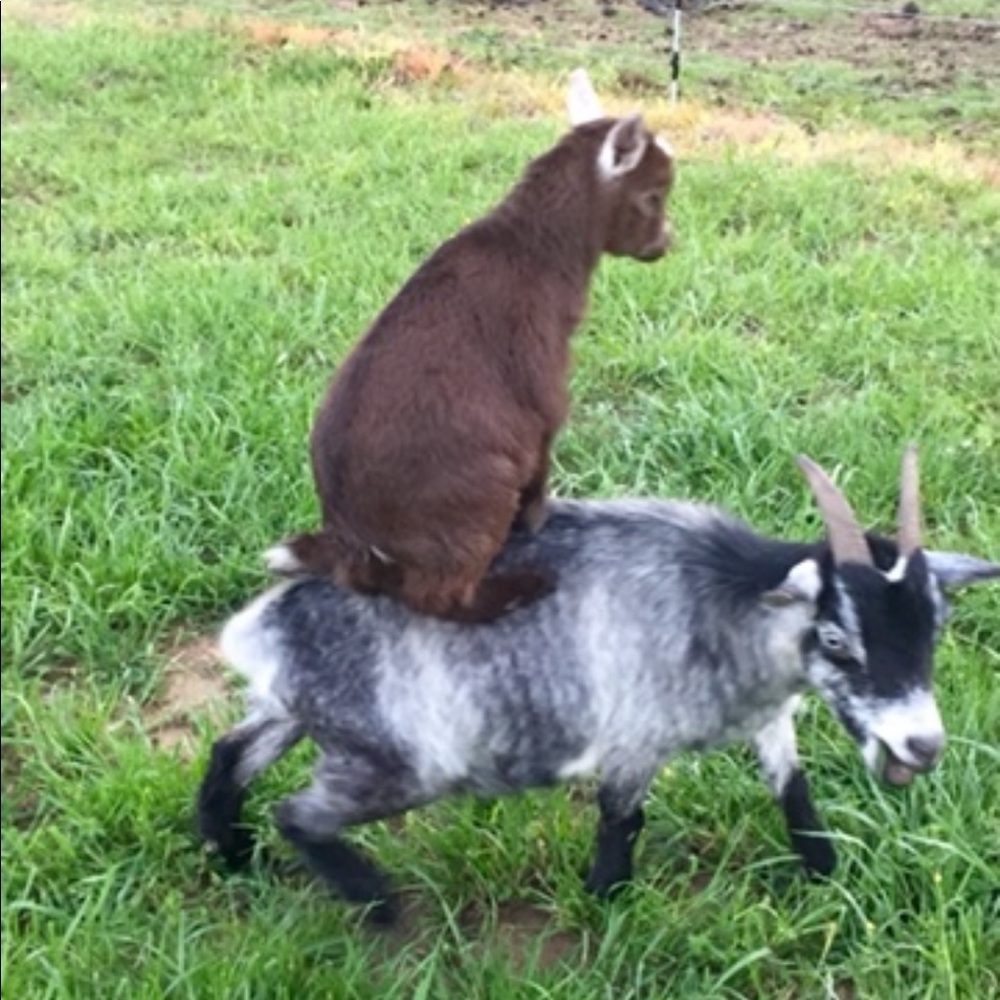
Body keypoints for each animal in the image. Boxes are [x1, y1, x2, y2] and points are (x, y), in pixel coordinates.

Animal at [197, 448, 998, 925]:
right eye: (837, 639)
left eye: (936, 625)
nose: (921, 746)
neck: (728, 602)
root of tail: (266, 629)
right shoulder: (635, 737)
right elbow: (621, 823)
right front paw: (605, 907)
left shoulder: (769, 718)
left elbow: (794, 797)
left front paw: (827, 880)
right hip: (403, 763)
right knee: (300, 814)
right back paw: (377, 904)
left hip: (301, 716)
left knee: (229, 752)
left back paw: (228, 855)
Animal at [272, 69, 676, 624]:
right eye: (654, 196)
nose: (666, 244)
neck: (536, 246)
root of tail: (352, 540)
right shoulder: (543, 389)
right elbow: (543, 458)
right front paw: (539, 518)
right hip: (480, 493)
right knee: (441, 597)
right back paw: (524, 586)